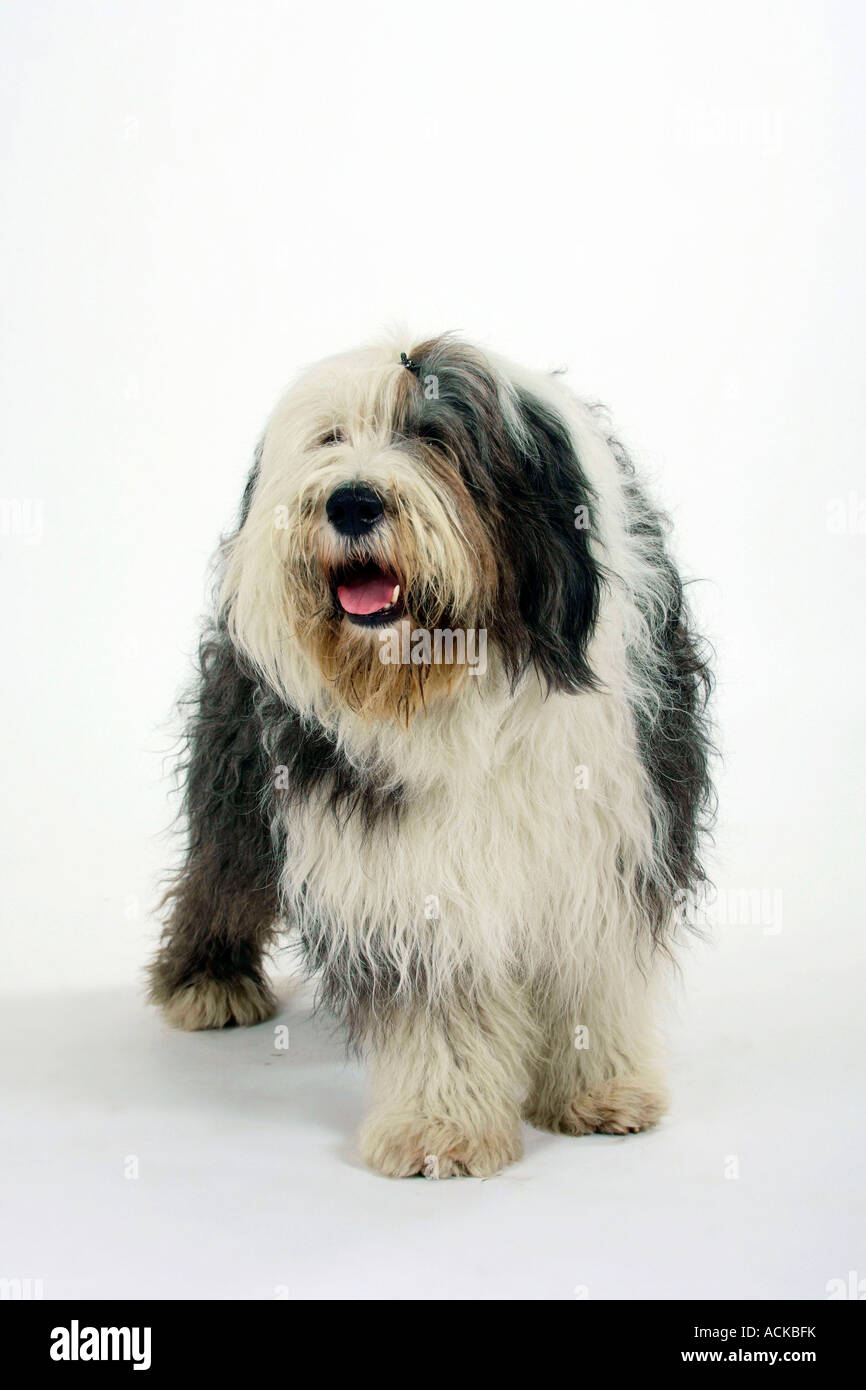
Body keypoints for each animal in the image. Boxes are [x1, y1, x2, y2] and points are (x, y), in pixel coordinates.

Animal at [150, 330, 717, 1178]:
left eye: (436, 437)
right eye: (331, 438)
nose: (351, 501)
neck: (454, 681)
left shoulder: (612, 827)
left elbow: (593, 967)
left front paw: (601, 1090)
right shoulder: (397, 861)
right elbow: (435, 1000)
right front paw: (439, 1127)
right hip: (239, 764)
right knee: (222, 867)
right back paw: (207, 982)